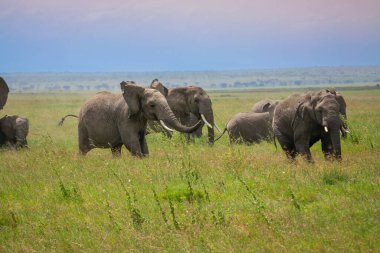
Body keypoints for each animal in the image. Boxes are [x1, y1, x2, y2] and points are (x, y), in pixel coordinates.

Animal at [60, 81, 200, 156]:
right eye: (152, 105)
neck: (139, 92)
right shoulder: (124, 118)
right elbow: (131, 143)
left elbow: (142, 142)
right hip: (83, 126)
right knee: (83, 149)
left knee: (116, 149)